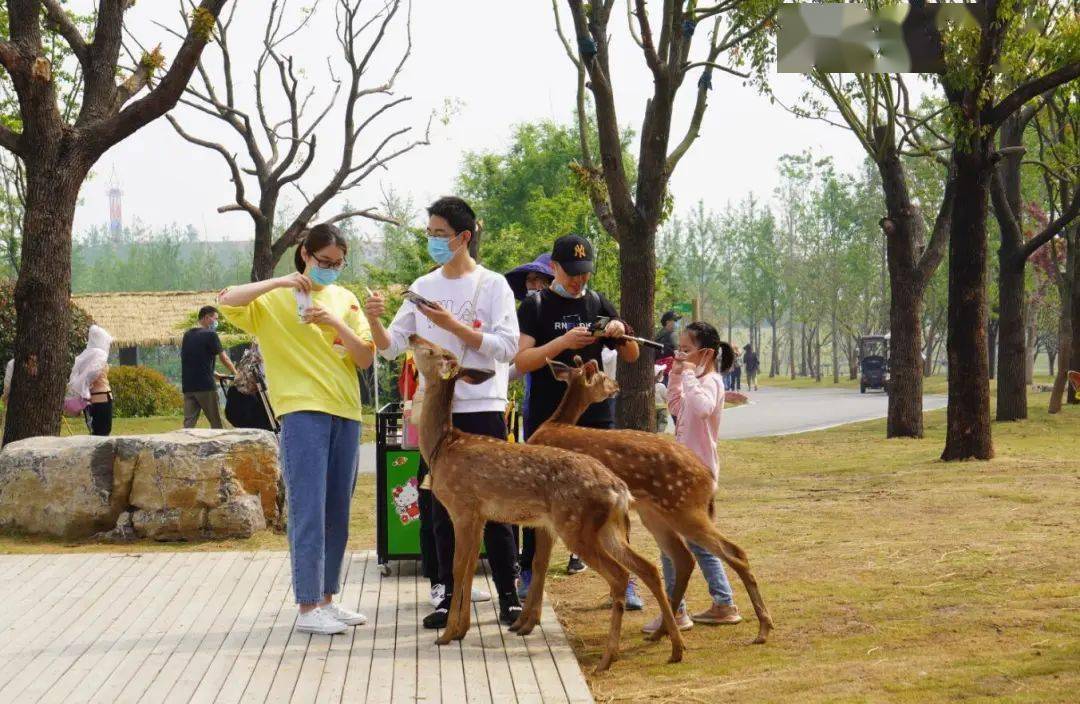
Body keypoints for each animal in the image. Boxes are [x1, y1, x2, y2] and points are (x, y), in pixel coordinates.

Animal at [406, 334, 682, 669]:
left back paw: (608, 657)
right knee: (647, 567)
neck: (443, 447)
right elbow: (470, 566)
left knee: (619, 574)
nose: (412, 336)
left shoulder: (463, 508)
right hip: (605, 529)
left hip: (574, 525)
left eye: (431, 350)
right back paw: (675, 648)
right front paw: (461, 630)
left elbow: (460, 568)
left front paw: (448, 634)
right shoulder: (481, 515)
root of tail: (620, 491)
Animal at [527, 360, 773, 647]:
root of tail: (708, 477)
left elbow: (539, 561)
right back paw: (662, 631)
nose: (616, 385)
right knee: (684, 558)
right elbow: (540, 561)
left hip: (685, 509)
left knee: (733, 551)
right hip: (656, 513)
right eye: (603, 377)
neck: (554, 424)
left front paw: (528, 621)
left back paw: (763, 628)